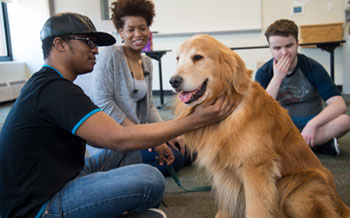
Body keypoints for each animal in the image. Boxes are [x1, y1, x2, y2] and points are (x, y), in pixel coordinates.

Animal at [170, 34, 350, 218]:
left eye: (198, 57)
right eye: (177, 59)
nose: (173, 81)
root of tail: (341, 204)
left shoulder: (256, 167)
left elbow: (256, 209)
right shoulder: (222, 174)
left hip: (298, 190)